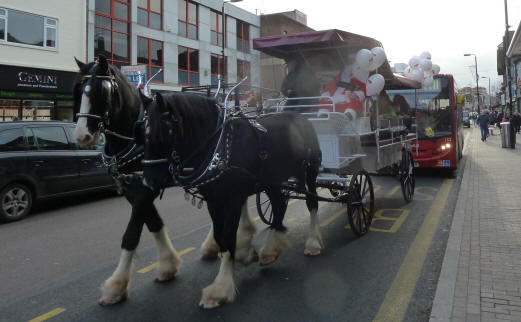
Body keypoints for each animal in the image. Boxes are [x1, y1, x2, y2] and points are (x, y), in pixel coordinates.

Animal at [140, 92, 322, 308]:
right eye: (143, 132)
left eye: (164, 131)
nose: (149, 180)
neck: (217, 148)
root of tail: (302, 116)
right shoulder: (213, 201)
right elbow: (220, 236)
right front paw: (244, 256)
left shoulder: (233, 199)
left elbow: (228, 237)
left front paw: (220, 288)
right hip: (272, 181)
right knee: (278, 206)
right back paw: (270, 250)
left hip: (310, 171)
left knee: (312, 203)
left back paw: (313, 243)